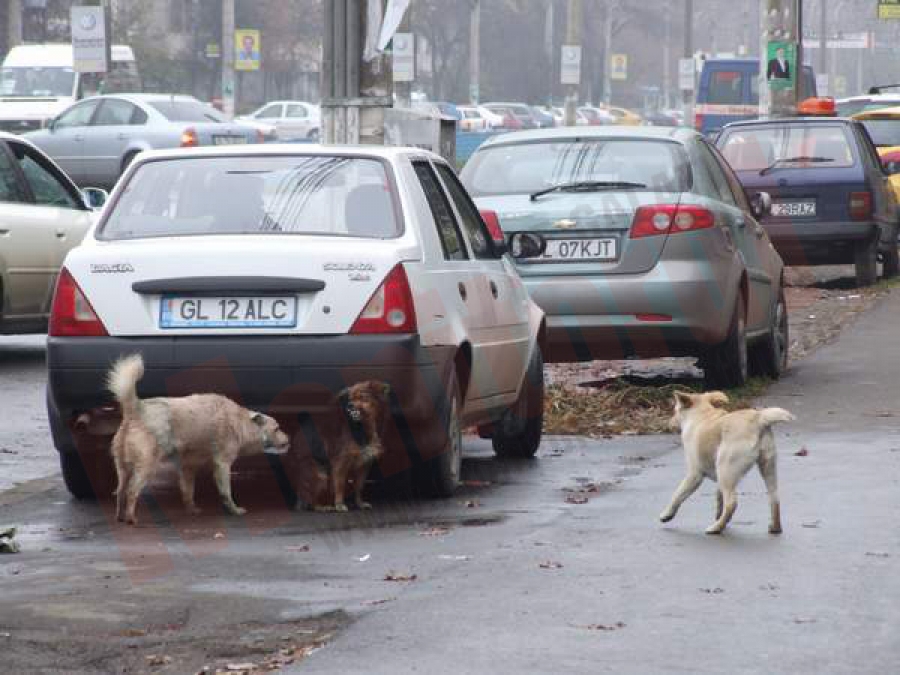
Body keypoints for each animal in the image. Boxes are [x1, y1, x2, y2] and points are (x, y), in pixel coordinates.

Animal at [106, 356, 290, 524]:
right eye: (277, 428)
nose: (288, 440)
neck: (240, 421)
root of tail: (134, 410)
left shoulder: (188, 467)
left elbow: (188, 491)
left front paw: (191, 510)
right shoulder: (222, 464)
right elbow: (226, 492)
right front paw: (234, 510)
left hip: (123, 469)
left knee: (120, 491)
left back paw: (120, 516)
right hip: (146, 467)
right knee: (131, 491)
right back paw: (131, 518)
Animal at [660, 394, 796, 536]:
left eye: (675, 411)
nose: (668, 423)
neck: (701, 415)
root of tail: (758, 417)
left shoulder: (694, 475)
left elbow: (677, 495)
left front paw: (666, 514)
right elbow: (719, 497)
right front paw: (720, 516)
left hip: (726, 471)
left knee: (731, 503)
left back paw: (716, 528)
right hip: (766, 468)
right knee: (774, 498)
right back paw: (775, 527)